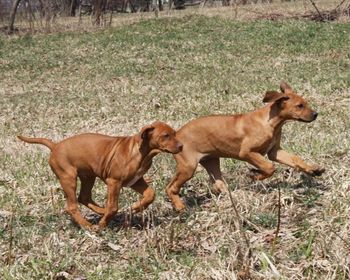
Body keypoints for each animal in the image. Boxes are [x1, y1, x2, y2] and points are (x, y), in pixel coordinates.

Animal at [18, 122, 183, 230]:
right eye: (165, 136)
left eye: (174, 134)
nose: (181, 146)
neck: (142, 153)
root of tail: (55, 146)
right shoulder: (114, 182)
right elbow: (113, 207)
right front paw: (103, 225)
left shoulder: (136, 181)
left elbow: (150, 194)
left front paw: (136, 207)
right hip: (68, 178)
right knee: (72, 206)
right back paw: (88, 226)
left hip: (88, 176)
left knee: (84, 197)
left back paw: (101, 212)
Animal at [166, 81, 326, 210]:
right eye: (300, 106)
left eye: (306, 103)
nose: (316, 114)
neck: (270, 123)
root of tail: (176, 134)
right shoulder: (247, 152)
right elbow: (270, 167)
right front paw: (255, 175)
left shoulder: (275, 152)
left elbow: (295, 159)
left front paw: (313, 169)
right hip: (188, 167)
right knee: (170, 187)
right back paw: (179, 206)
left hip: (211, 161)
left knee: (219, 184)